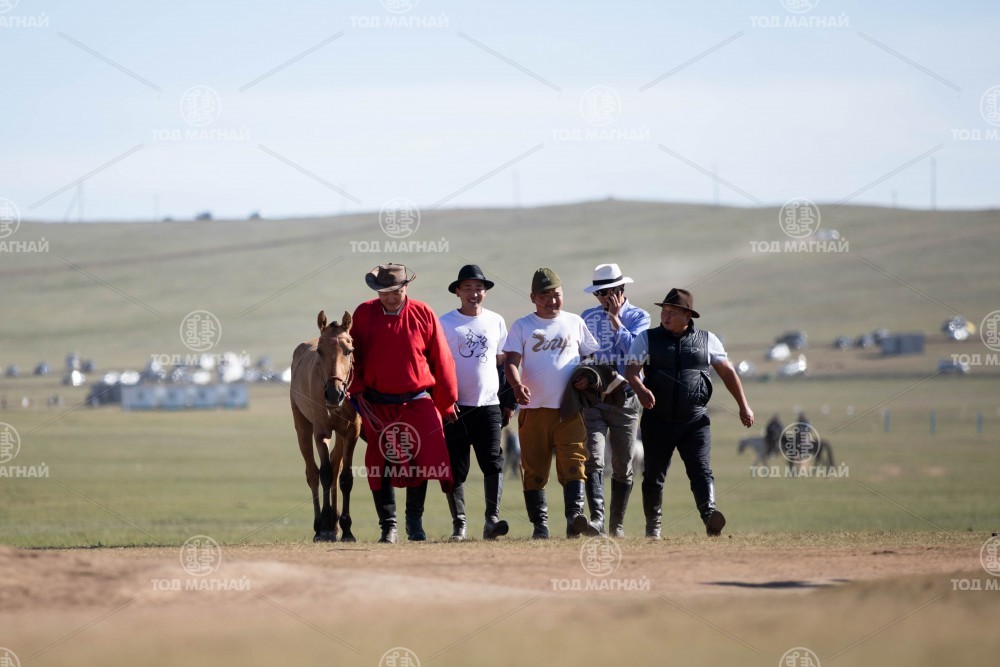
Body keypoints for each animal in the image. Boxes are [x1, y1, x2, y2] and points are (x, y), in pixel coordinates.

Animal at [290, 310, 362, 542]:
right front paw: (324, 526)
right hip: (302, 426)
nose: (333, 393)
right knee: (313, 473)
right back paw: (320, 525)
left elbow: (345, 477)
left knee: (336, 466)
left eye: (349, 350)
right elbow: (324, 473)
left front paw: (346, 529)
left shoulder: (351, 432)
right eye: (320, 351)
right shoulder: (321, 432)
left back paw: (334, 525)